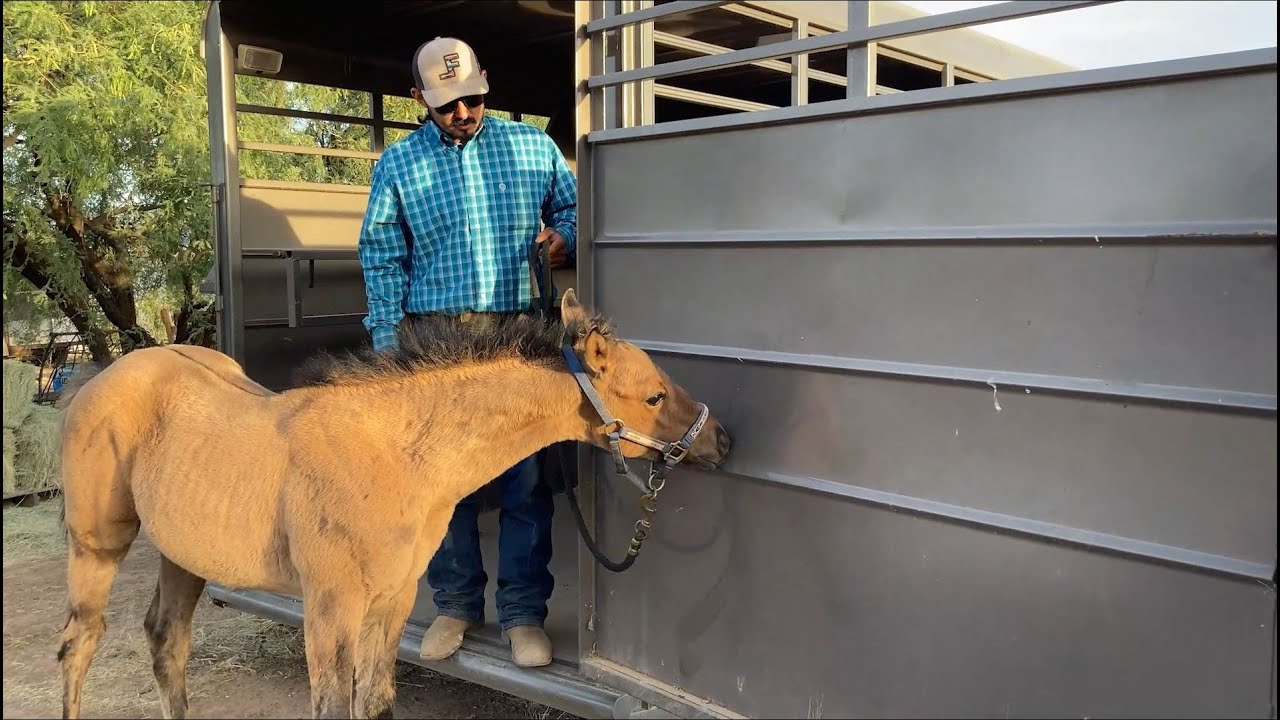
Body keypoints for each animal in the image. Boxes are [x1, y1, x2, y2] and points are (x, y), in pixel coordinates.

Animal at [54, 289, 731, 719]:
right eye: (653, 396)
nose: (721, 439)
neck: (393, 452)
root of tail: (104, 375)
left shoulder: (393, 601)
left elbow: (374, 700)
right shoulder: (330, 609)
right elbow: (334, 708)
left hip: (183, 553)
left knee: (167, 641)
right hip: (95, 547)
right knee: (78, 644)